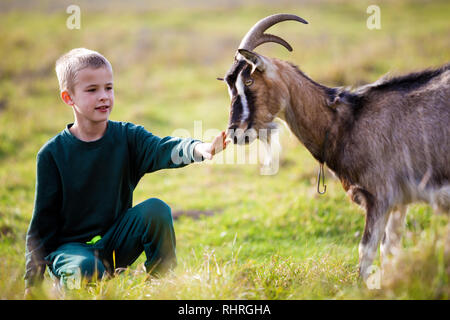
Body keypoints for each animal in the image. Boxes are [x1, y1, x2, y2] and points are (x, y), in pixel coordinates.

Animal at [221, 13, 450, 282]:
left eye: (249, 80)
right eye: (229, 85)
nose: (235, 132)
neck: (346, 121)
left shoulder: (380, 195)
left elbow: (367, 251)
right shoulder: (400, 201)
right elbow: (391, 251)